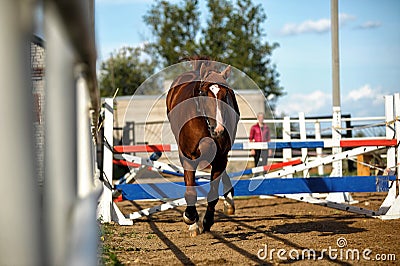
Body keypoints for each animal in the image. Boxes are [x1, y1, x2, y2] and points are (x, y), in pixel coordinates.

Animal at [166, 58, 241, 235]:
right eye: (204, 93)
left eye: (226, 94)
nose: (219, 129)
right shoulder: (188, 157)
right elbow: (190, 191)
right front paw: (190, 218)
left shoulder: (220, 157)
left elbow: (213, 193)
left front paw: (207, 221)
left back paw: (229, 200)